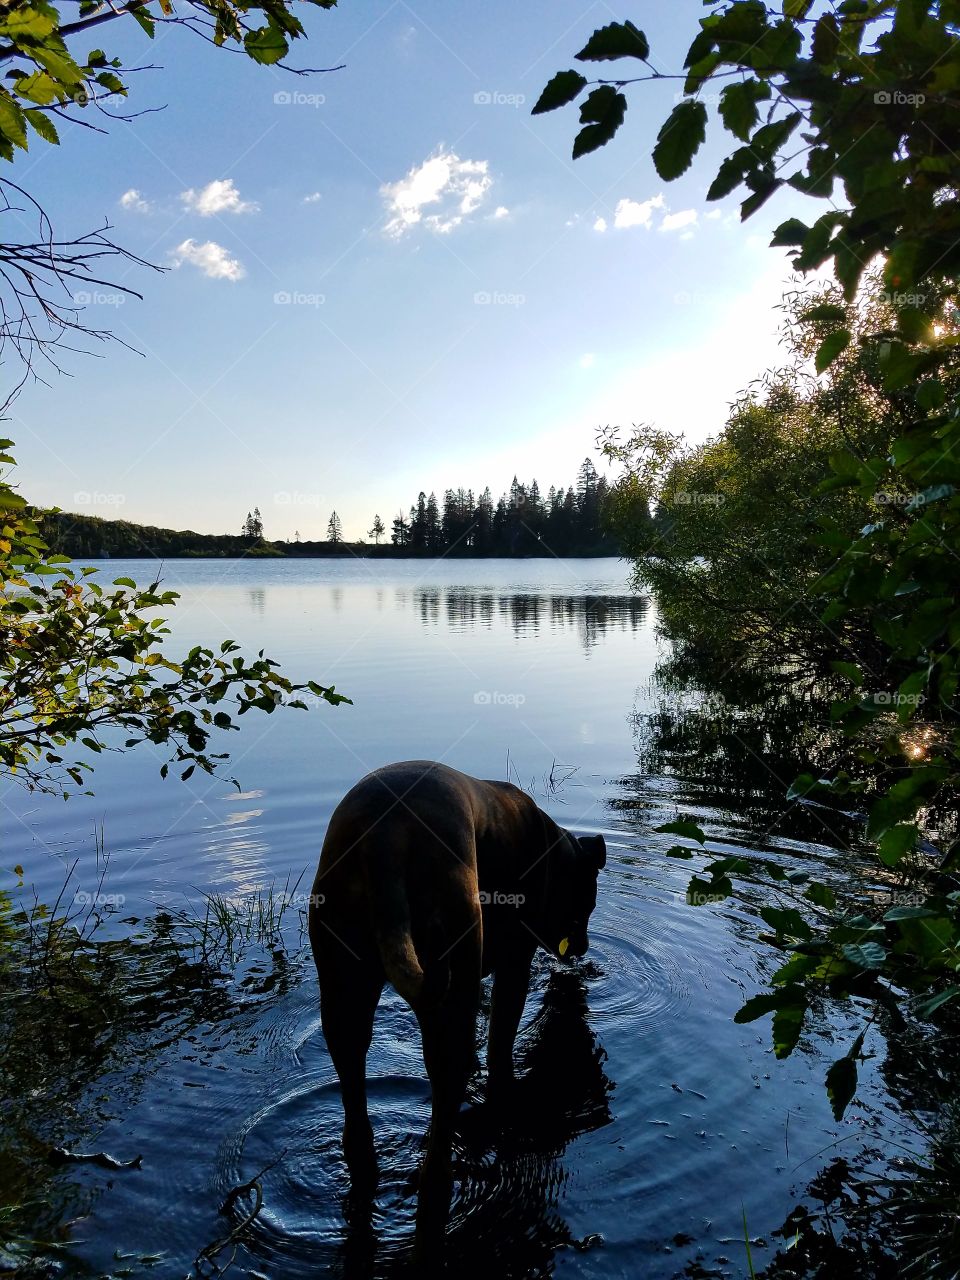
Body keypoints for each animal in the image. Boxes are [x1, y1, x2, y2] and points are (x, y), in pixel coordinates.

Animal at [309, 757, 609, 1249]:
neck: (552, 851)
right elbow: (501, 1040)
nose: (580, 948)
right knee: (447, 1091)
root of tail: (385, 835)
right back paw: (440, 1181)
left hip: (343, 994)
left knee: (355, 1085)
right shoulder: (514, 964)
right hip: (453, 953)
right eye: (586, 903)